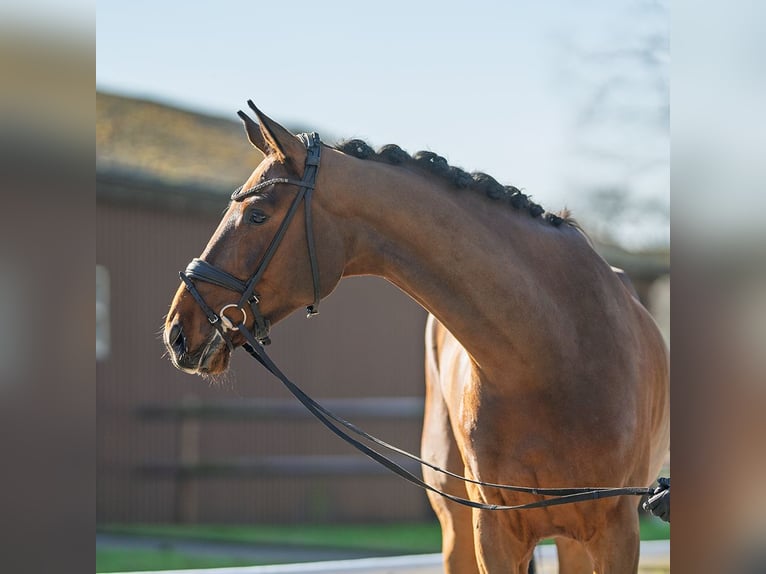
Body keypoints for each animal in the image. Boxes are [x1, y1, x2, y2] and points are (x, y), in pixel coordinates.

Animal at [164, 103, 669, 573]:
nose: (177, 332)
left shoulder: (616, 534)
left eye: (257, 215)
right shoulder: (494, 532)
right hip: (460, 528)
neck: (558, 349)